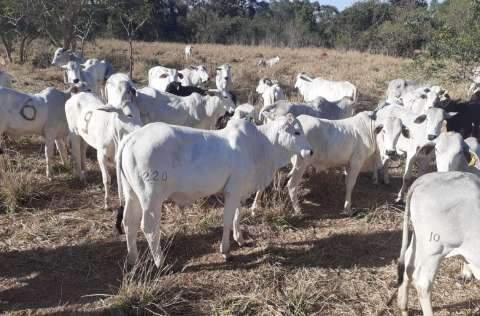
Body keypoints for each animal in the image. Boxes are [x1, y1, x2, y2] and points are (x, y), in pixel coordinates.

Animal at [114, 115, 314, 266]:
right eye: (296, 132)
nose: (310, 152)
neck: (262, 146)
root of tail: (132, 137)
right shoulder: (232, 191)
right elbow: (227, 220)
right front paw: (225, 250)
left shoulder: (240, 192)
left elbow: (237, 215)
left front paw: (239, 238)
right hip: (151, 198)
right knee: (148, 227)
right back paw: (160, 261)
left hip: (132, 194)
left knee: (129, 222)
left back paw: (133, 259)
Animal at [398, 170, 480, 316]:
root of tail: (423, 180)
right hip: (435, 249)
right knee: (423, 282)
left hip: (419, 240)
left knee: (408, 263)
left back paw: (403, 307)